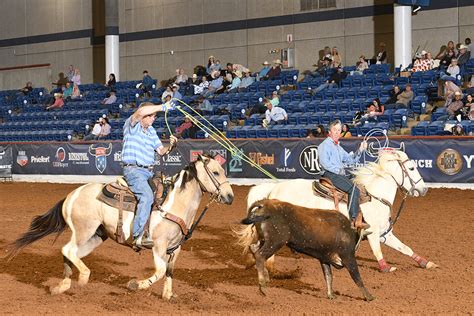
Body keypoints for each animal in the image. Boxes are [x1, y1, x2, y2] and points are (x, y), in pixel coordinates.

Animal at [8, 155, 234, 298]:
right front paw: (136, 285)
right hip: (84, 231)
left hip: (96, 236)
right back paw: (82, 278)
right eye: (216, 172)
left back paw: (63, 286)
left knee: (70, 253)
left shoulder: (175, 248)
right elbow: (160, 270)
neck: (174, 204)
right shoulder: (158, 246)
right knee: (68, 250)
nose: (230, 196)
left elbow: (169, 271)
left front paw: (168, 296)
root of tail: (72, 195)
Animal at [235, 149, 438, 274]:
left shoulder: (384, 234)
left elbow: (405, 248)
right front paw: (386, 268)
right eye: (411, 168)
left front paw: (426, 262)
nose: (424, 189)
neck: (376, 197)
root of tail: (273, 190)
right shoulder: (373, 234)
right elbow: (378, 252)